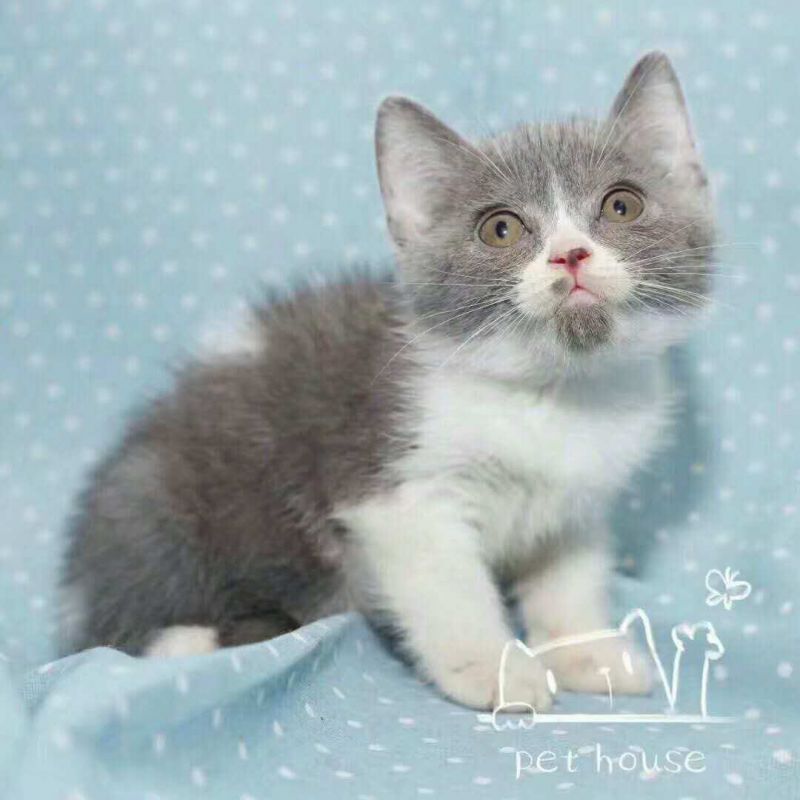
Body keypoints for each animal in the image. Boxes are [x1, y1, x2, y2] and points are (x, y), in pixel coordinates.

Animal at [59, 51, 715, 711]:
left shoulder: (577, 505)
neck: (552, 391)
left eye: (621, 206)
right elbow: (449, 588)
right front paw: (495, 668)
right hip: (155, 501)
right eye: (500, 229)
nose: (570, 254)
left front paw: (585, 652)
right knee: (118, 632)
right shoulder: (399, 489)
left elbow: (569, 580)